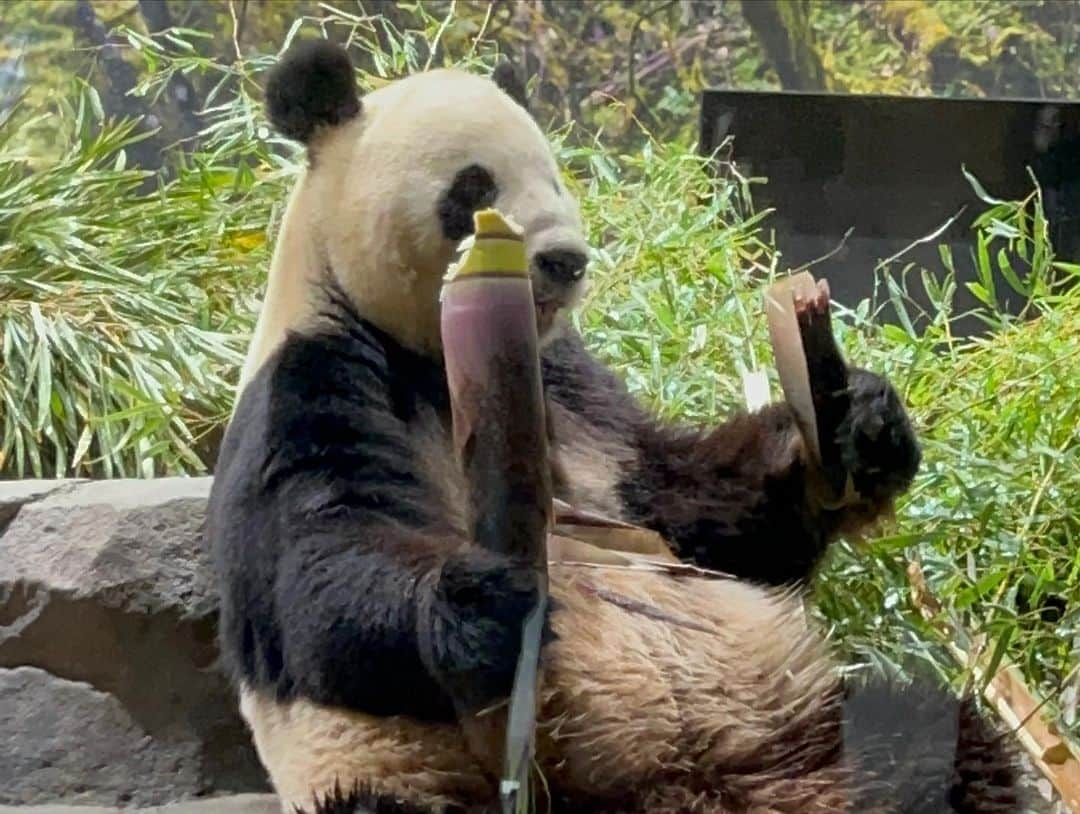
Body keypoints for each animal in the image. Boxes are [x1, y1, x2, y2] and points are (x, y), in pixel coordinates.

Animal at [206, 41, 1023, 811]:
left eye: (555, 177)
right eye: (474, 189)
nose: (564, 259)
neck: (440, 357)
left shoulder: (571, 387)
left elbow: (698, 514)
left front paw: (858, 425)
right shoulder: (314, 381)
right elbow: (315, 574)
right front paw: (487, 605)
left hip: (806, 731)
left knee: (943, 747)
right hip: (422, 784)